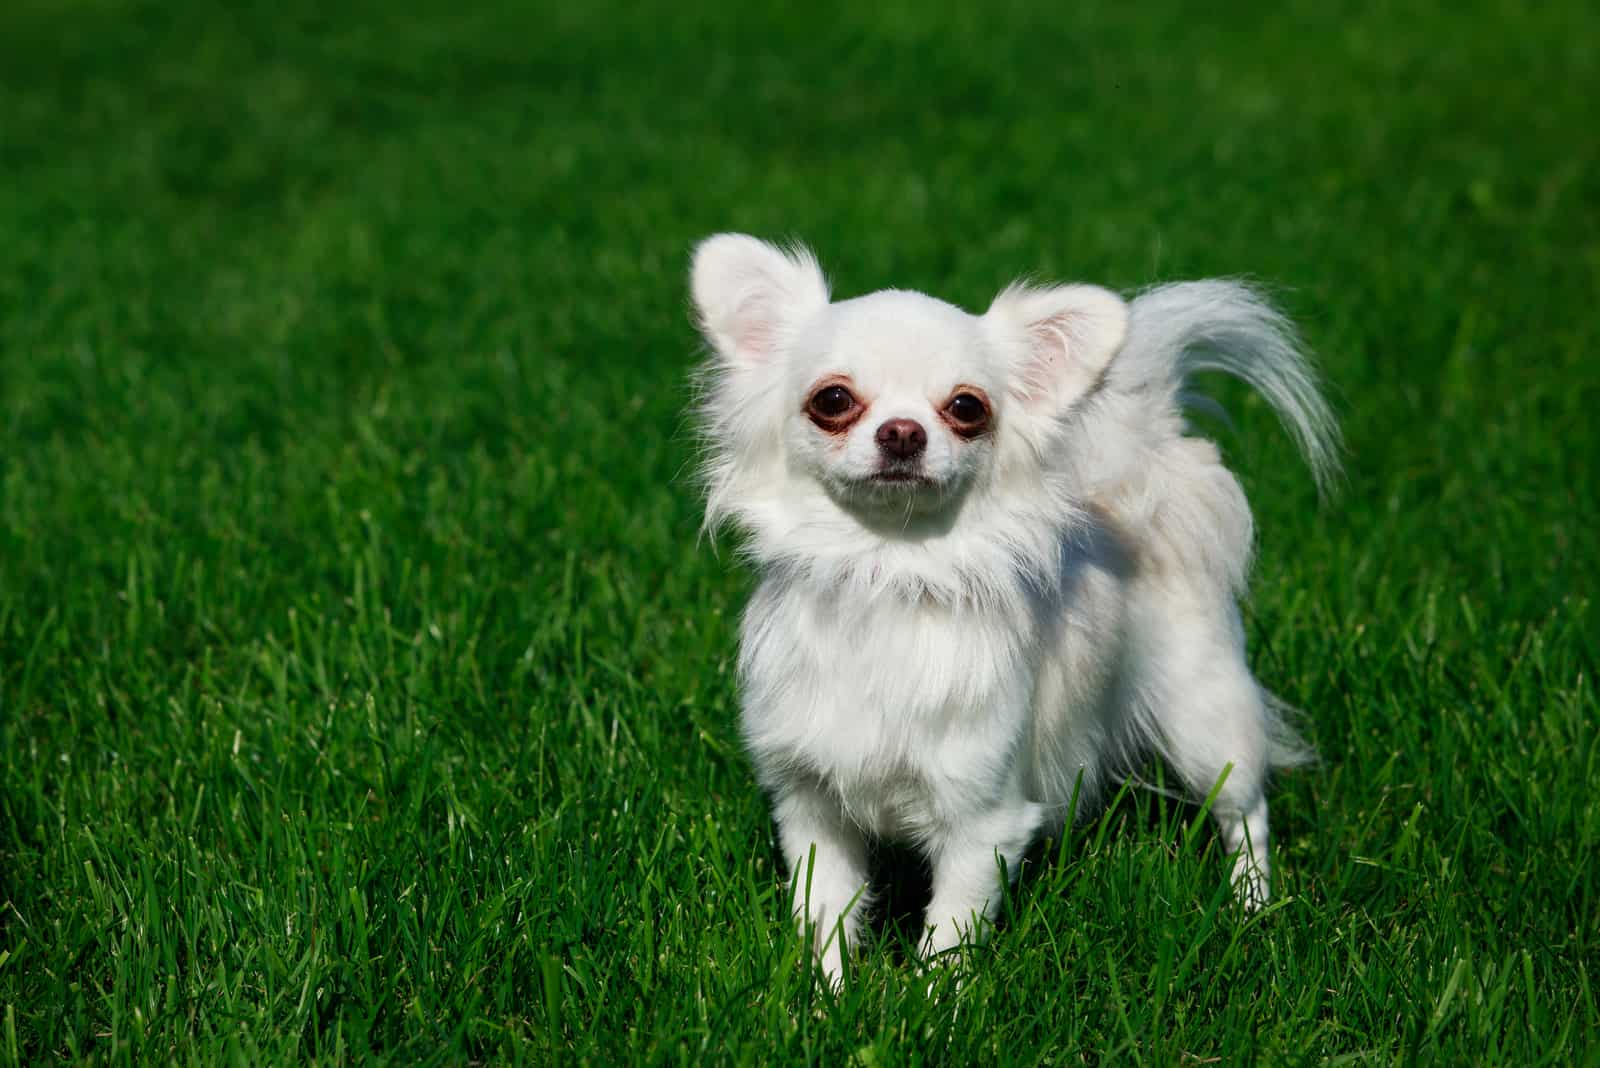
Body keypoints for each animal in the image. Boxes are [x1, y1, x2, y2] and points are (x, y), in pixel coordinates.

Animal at [688, 233, 1337, 984]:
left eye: (967, 408)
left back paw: (1252, 906)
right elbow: (825, 916)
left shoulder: (981, 822)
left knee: (1244, 810)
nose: (903, 432)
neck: (889, 569)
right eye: (834, 399)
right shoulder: (813, 807)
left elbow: (948, 936)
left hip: (1202, 713)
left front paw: (931, 1003)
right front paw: (824, 997)